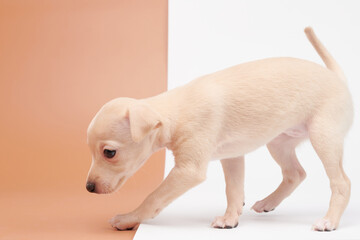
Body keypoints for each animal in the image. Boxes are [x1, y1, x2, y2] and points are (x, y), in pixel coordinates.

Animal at [86, 27, 352, 232]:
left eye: (109, 153)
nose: (88, 188)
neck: (174, 111)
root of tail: (337, 78)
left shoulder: (188, 171)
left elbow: (154, 197)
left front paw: (128, 218)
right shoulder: (232, 157)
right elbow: (233, 190)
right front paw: (231, 218)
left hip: (323, 138)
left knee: (341, 182)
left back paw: (329, 221)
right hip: (279, 142)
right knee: (295, 173)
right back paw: (268, 202)